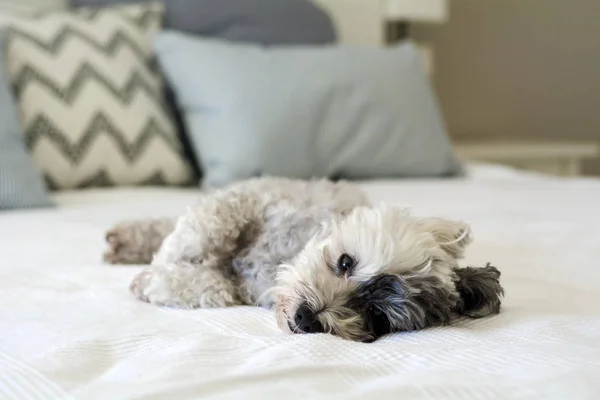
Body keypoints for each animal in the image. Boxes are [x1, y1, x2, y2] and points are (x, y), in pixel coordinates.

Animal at [105, 177, 504, 342]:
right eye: (345, 262)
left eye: (376, 317)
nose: (306, 318)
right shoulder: (247, 199)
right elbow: (207, 227)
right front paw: (162, 264)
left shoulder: (239, 287)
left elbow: (214, 285)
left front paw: (155, 280)